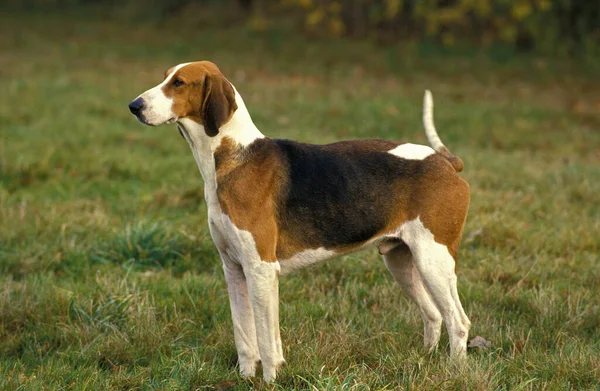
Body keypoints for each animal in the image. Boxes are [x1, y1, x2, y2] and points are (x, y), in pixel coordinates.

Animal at [129, 61, 472, 382]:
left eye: (178, 83)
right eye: (164, 77)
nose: (134, 106)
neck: (233, 157)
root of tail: (445, 162)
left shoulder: (262, 270)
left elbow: (267, 341)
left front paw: (270, 380)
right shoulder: (234, 270)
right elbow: (244, 338)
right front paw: (245, 379)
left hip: (433, 260)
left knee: (458, 321)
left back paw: (454, 371)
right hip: (402, 262)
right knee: (433, 315)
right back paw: (425, 359)